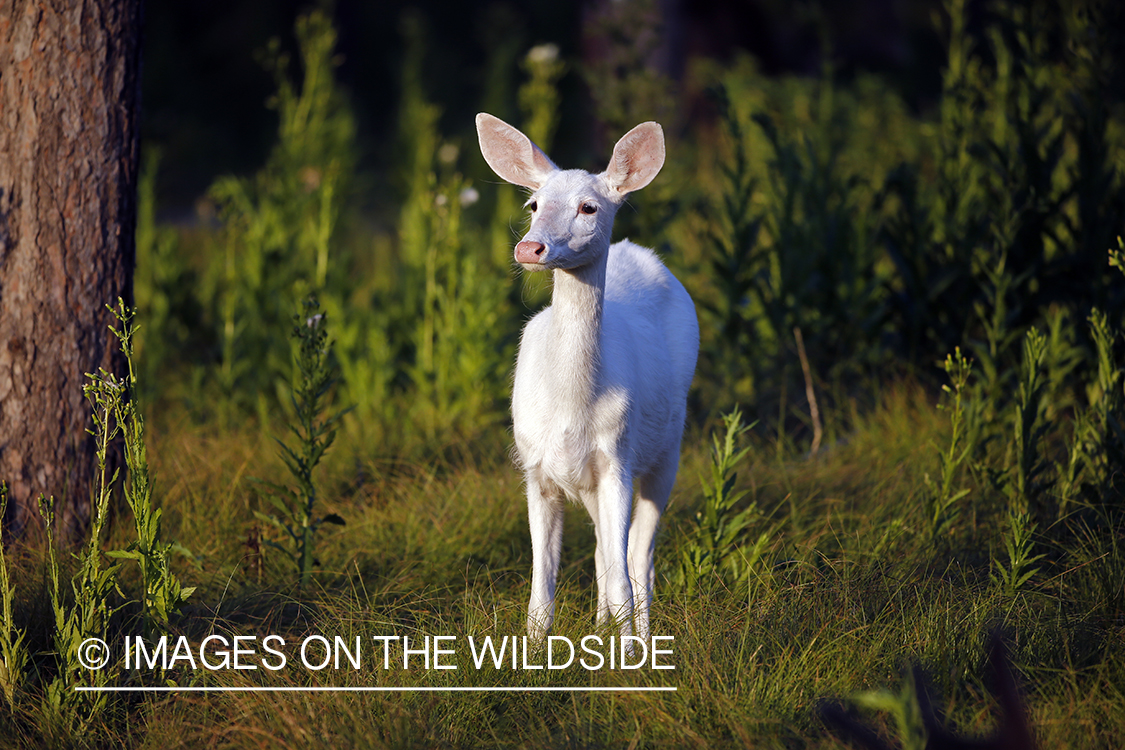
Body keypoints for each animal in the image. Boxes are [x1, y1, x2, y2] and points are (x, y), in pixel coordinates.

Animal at [475, 112, 699, 644]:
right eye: (533, 203)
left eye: (589, 206)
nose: (530, 246)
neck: (571, 404)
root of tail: (639, 251)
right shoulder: (534, 467)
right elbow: (541, 586)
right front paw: (536, 647)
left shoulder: (617, 456)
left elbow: (622, 577)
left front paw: (628, 655)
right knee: (603, 551)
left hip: (668, 447)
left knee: (638, 559)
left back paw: (639, 635)